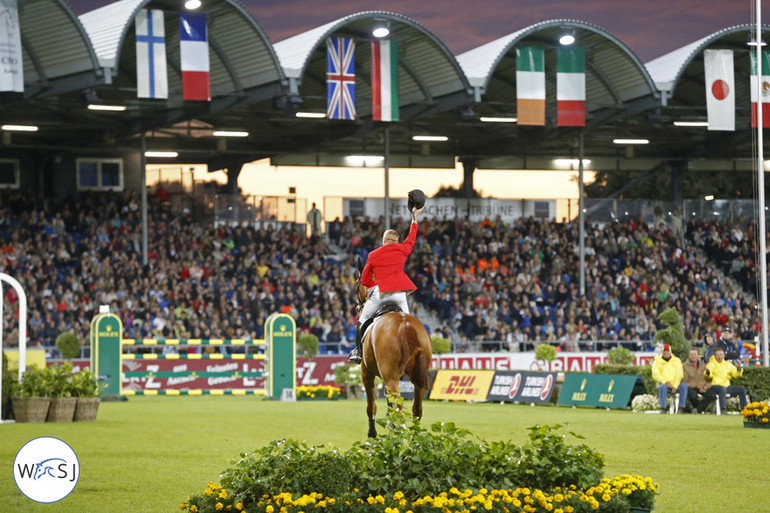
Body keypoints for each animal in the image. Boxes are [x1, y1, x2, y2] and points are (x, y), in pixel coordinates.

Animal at [354, 278, 432, 438]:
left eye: (358, 282)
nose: (358, 306)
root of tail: (404, 323)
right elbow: (389, 402)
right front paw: (391, 424)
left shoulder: (366, 373)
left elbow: (371, 405)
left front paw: (372, 433)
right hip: (419, 379)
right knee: (417, 408)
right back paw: (415, 437)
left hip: (390, 378)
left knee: (400, 405)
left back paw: (402, 433)